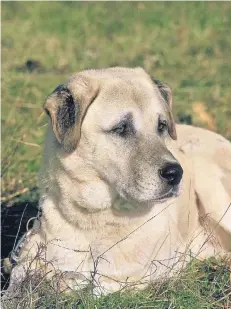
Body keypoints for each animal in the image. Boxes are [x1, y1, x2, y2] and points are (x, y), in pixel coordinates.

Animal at [7, 67, 231, 294]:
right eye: (121, 128)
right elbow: (21, 273)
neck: (94, 219)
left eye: (161, 126)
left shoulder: (126, 275)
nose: (175, 174)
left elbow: (97, 284)